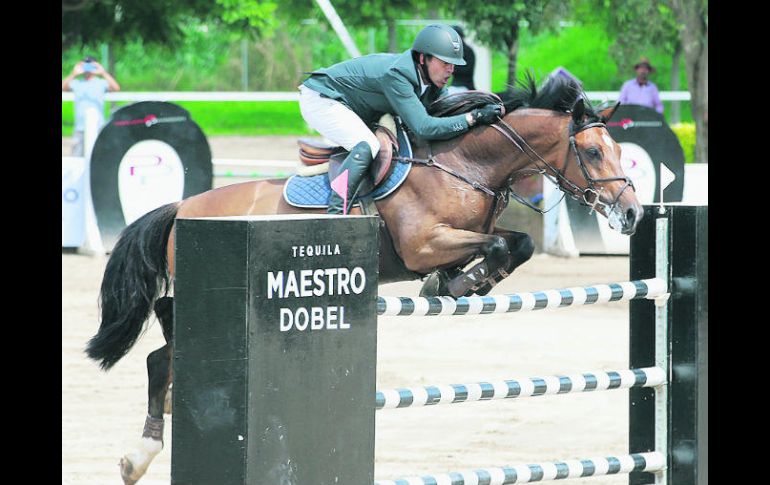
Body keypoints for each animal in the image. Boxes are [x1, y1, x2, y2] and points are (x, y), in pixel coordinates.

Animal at [85, 73, 640, 482]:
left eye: (618, 150)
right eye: (593, 153)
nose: (633, 214)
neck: (466, 163)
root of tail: (183, 205)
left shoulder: (474, 230)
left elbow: (516, 243)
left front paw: (465, 280)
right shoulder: (423, 244)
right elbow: (496, 247)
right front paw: (453, 283)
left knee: (162, 347)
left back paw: (155, 431)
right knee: (162, 343)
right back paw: (140, 454)